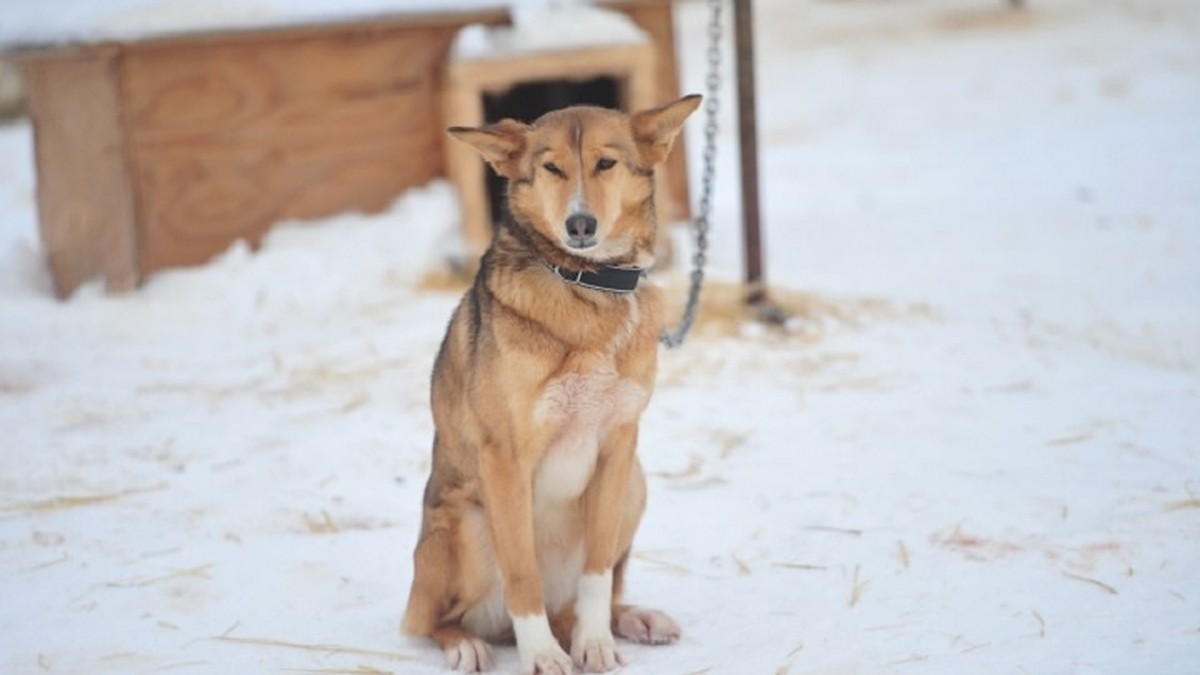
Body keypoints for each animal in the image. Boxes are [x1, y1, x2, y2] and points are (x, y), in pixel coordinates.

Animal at [405, 94, 700, 672]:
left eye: (605, 163)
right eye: (552, 169)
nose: (580, 224)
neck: (589, 286)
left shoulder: (616, 446)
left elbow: (597, 573)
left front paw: (594, 642)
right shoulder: (504, 458)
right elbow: (523, 576)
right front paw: (542, 655)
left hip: (635, 485)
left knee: (583, 598)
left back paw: (633, 619)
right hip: (467, 525)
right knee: (430, 621)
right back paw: (466, 643)